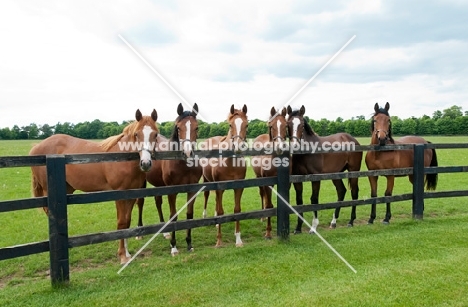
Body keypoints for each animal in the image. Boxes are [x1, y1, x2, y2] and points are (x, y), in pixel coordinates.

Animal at [31, 109, 160, 264]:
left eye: (155, 134)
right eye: (136, 134)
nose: (146, 163)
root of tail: (36, 147)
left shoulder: (131, 195)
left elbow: (127, 222)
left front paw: (128, 254)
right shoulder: (119, 195)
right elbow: (122, 223)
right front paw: (122, 255)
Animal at [139, 102, 201, 256]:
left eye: (197, 127)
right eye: (178, 127)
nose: (188, 152)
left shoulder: (192, 190)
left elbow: (189, 215)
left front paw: (189, 244)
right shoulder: (172, 191)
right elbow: (173, 216)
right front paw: (173, 246)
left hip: (159, 185)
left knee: (158, 202)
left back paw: (164, 232)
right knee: (140, 202)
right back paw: (139, 231)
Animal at [200, 104, 249, 248]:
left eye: (247, 125)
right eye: (230, 125)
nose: (238, 147)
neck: (230, 162)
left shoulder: (238, 187)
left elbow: (237, 210)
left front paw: (238, 239)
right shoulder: (219, 188)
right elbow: (221, 211)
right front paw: (219, 241)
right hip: (207, 181)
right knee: (207, 196)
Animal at [252, 107, 288, 239]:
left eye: (286, 125)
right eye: (272, 126)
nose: (279, 148)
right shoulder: (268, 183)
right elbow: (269, 205)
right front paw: (268, 232)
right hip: (259, 178)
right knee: (262, 194)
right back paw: (263, 217)